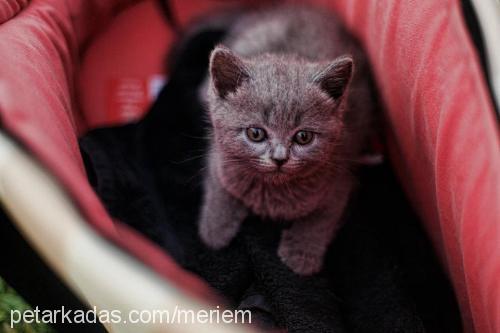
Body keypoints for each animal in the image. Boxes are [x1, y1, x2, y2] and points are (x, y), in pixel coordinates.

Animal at [197, 5, 374, 274]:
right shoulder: (220, 158)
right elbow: (220, 189)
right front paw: (214, 230)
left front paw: (300, 255)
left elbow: (321, 219)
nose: (279, 158)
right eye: (256, 133)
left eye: (303, 137)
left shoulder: (341, 178)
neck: (270, 191)